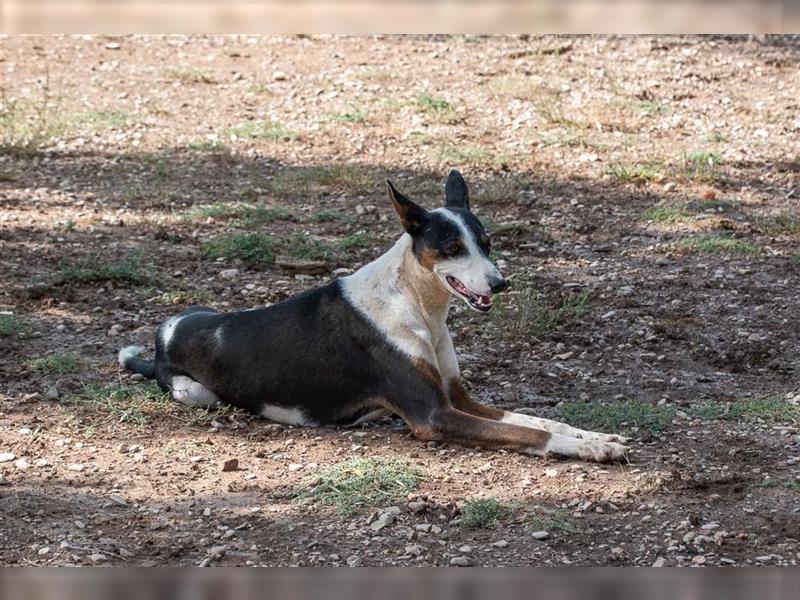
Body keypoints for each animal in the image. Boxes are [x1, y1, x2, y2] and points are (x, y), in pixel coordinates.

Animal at [120, 171, 632, 462]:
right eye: (452, 247)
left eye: (486, 243)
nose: (499, 283)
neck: (419, 306)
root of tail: (163, 336)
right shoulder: (433, 415)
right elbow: (528, 433)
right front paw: (590, 449)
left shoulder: (455, 396)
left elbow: (539, 420)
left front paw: (595, 434)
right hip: (196, 394)